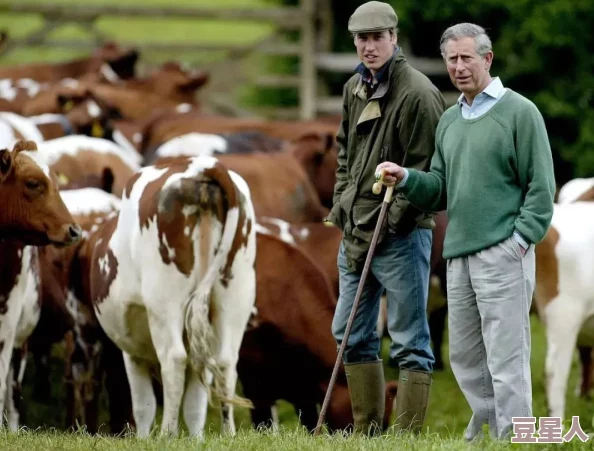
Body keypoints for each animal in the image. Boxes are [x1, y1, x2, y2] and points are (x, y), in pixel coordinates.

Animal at [84, 156, 254, 438]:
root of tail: (202, 165)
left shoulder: (132, 352)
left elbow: (143, 405)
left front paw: (144, 438)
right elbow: (195, 406)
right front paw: (196, 439)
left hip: (164, 301)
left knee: (173, 359)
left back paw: (167, 434)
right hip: (235, 294)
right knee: (226, 362)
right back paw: (228, 434)